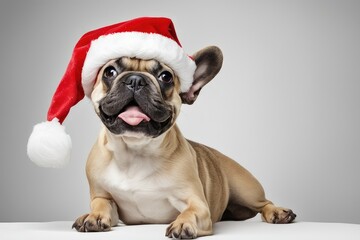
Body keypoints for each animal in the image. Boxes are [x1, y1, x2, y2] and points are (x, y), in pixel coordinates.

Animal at [71, 46, 296, 238]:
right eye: (109, 72)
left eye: (166, 77)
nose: (135, 79)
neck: (135, 151)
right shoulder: (102, 195)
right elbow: (102, 204)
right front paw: (93, 216)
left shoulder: (196, 203)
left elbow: (190, 212)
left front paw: (183, 223)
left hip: (246, 188)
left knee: (264, 203)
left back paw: (278, 212)